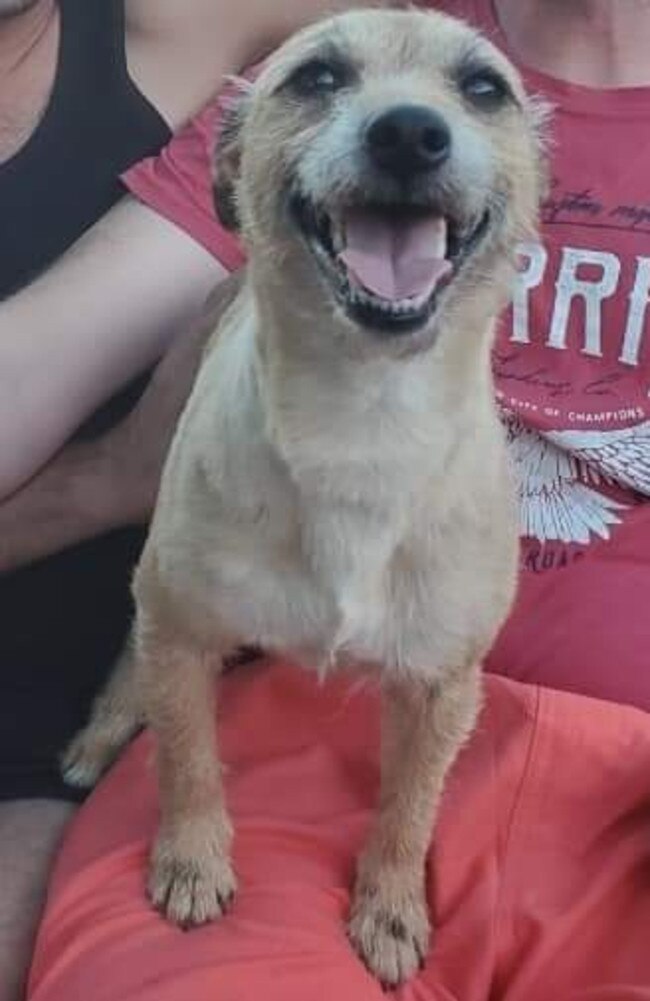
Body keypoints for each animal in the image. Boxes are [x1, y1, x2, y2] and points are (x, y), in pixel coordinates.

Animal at [64, 9, 540, 984]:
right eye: (316, 78)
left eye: (484, 89)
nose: (409, 132)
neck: (363, 424)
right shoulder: (184, 625)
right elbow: (187, 757)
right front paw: (192, 858)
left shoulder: (442, 686)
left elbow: (409, 806)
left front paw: (390, 904)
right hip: (140, 496)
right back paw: (105, 727)